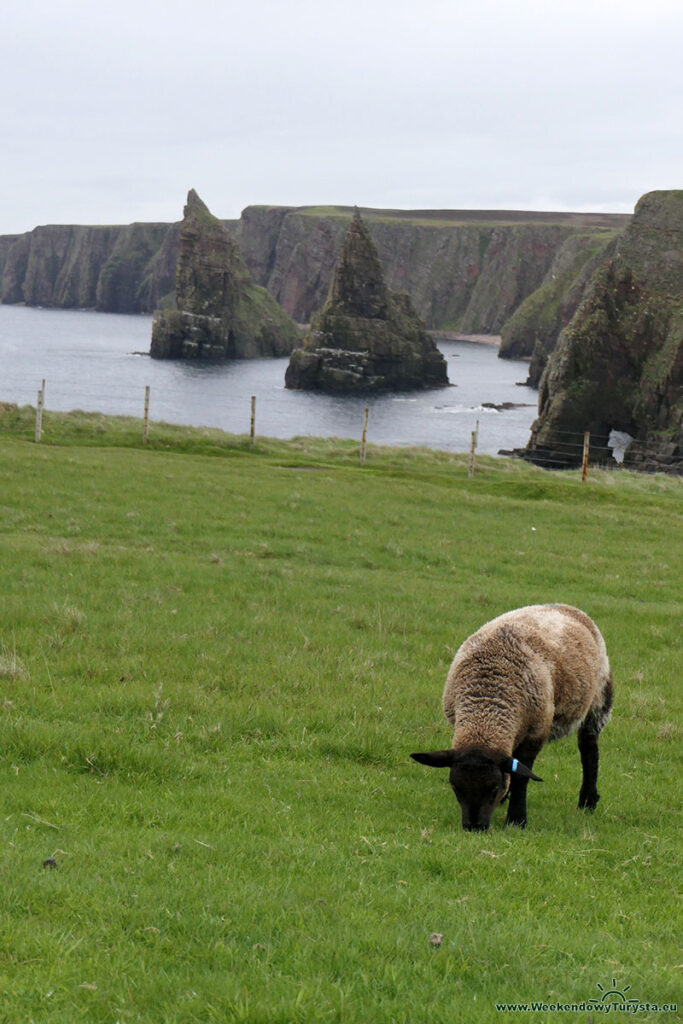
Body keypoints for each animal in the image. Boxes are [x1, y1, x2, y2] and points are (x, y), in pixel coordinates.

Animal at [411, 598, 614, 831]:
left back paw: (588, 801)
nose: (474, 827)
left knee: (589, 750)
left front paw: (517, 819)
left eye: (493, 789)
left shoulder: (536, 732)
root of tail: (564, 605)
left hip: (598, 699)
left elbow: (521, 778)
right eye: (455, 788)